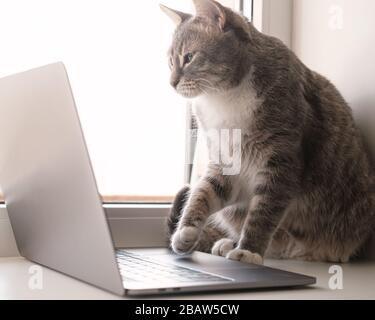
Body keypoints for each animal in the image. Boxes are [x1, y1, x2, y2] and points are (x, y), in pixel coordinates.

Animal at [161, 0, 375, 264]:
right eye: (171, 62)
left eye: (189, 57)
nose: (171, 83)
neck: (224, 98)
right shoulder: (225, 161)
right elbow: (203, 192)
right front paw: (186, 232)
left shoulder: (281, 162)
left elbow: (263, 212)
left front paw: (249, 250)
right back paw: (226, 243)